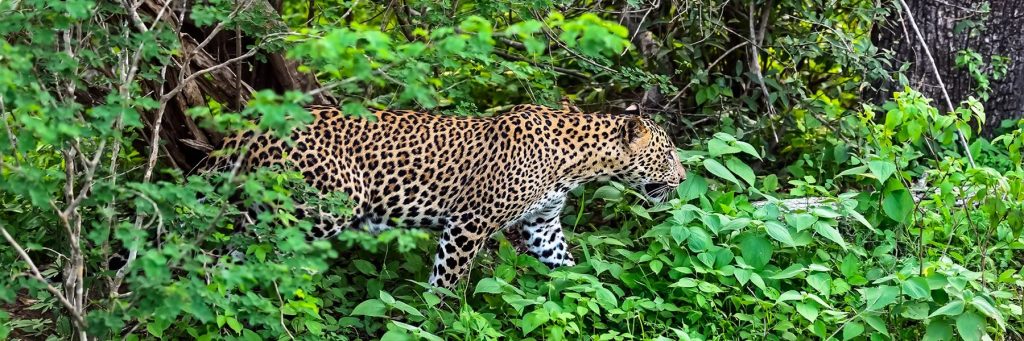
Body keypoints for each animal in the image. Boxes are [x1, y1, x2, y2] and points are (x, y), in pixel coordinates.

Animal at [207, 102, 688, 286]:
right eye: (667, 155)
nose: (684, 179)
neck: (578, 164)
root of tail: (255, 123)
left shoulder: (543, 226)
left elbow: (569, 270)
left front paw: (590, 297)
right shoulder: (470, 222)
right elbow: (447, 281)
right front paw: (435, 318)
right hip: (315, 210)